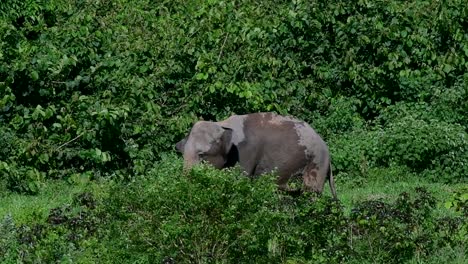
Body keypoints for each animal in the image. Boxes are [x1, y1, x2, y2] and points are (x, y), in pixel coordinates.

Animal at [176, 111, 336, 198]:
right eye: (181, 153)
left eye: (202, 156)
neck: (222, 124)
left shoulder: (246, 153)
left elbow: (239, 181)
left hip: (316, 163)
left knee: (311, 193)